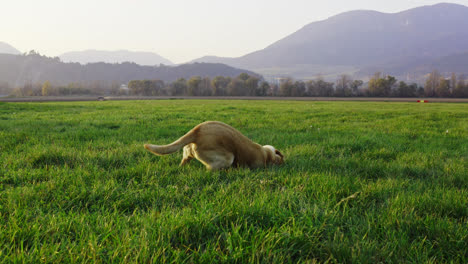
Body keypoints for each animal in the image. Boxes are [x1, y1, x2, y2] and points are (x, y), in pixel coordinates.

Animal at [143, 121, 284, 170]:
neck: (267, 155)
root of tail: (197, 130)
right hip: (228, 158)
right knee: (210, 168)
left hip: (188, 153)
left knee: (184, 161)